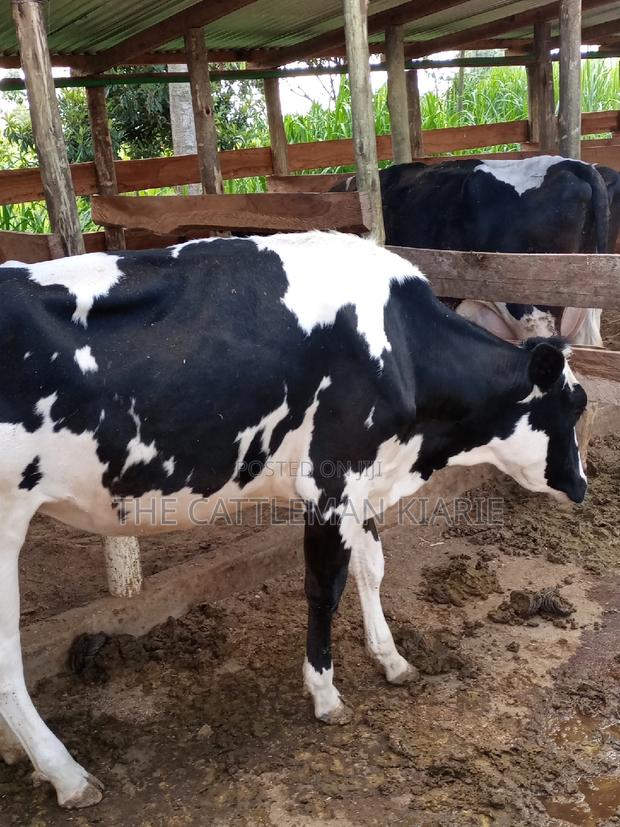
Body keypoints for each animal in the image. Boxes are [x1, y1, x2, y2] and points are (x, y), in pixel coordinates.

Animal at [0, 232, 587, 808]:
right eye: (573, 406)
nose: (582, 486)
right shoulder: (331, 482)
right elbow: (326, 590)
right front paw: (326, 694)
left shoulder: (364, 481)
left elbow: (372, 568)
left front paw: (392, 660)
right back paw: (66, 776)